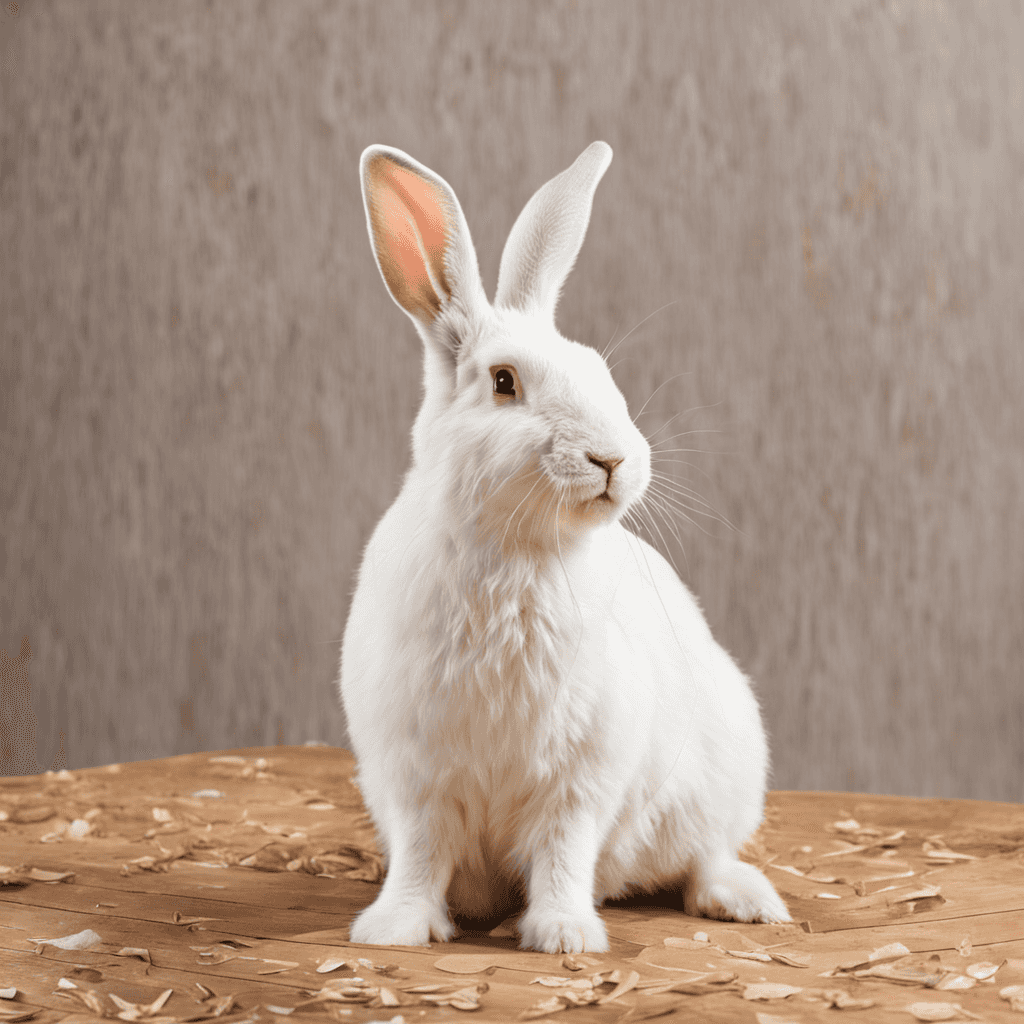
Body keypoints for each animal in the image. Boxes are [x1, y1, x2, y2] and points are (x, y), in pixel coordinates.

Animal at [338, 140, 791, 955]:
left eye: (602, 374)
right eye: (503, 382)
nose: (614, 459)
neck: (515, 550)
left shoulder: (580, 775)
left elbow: (562, 850)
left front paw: (564, 935)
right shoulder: (414, 774)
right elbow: (420, 855)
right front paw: (393, 930)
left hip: (724, 773)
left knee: (704, 856)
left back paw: (746, 901)